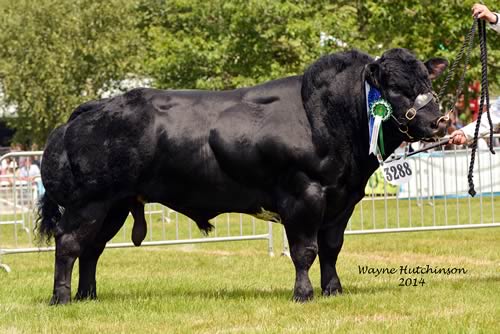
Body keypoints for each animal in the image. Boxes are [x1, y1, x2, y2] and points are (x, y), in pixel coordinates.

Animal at [36, 47, 450, 306]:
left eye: (427, 84)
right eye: (394, 87)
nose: (439, 122)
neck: (328, 116)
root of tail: (90, 109)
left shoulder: (342, 199)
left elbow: (332, 247)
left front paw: (333, 290)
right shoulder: (303, 194)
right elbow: (305, 250)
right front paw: (303, 294)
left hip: (115, 205)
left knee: (92, 249)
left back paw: (88, 295)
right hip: (88, 203)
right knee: (69, 243)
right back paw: (62, 298)